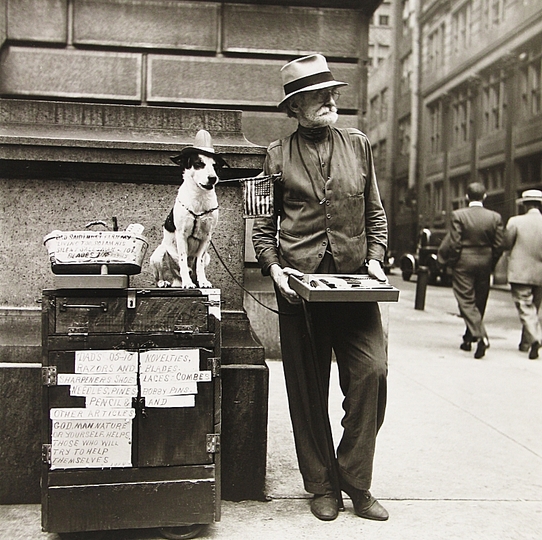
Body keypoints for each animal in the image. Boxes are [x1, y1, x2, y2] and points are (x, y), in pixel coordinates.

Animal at [151, 129, 230, 288]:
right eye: (199, 164)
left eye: (215, 166)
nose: (213, 178)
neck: (199, 198)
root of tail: (175, 281)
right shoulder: (182, 235)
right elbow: (182, 260)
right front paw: (188, 283)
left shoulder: (206, 237)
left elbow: (199, 263)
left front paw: (203, 281)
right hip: (158, 255)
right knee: (162, 274)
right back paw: (165, 282)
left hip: (208, 257)